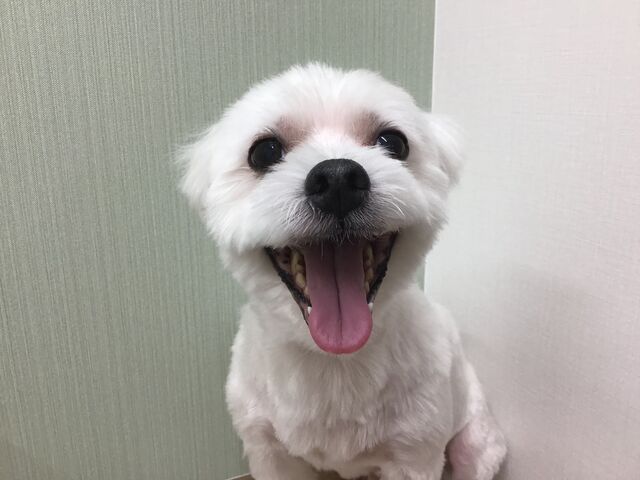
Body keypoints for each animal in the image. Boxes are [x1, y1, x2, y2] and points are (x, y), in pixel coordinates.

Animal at [180, 64, 506, 480]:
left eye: (393, 142)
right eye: (264, 151)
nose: (337, 178)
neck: (333, 363)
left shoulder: (414, 456)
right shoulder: (269, 451)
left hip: (476, 445)